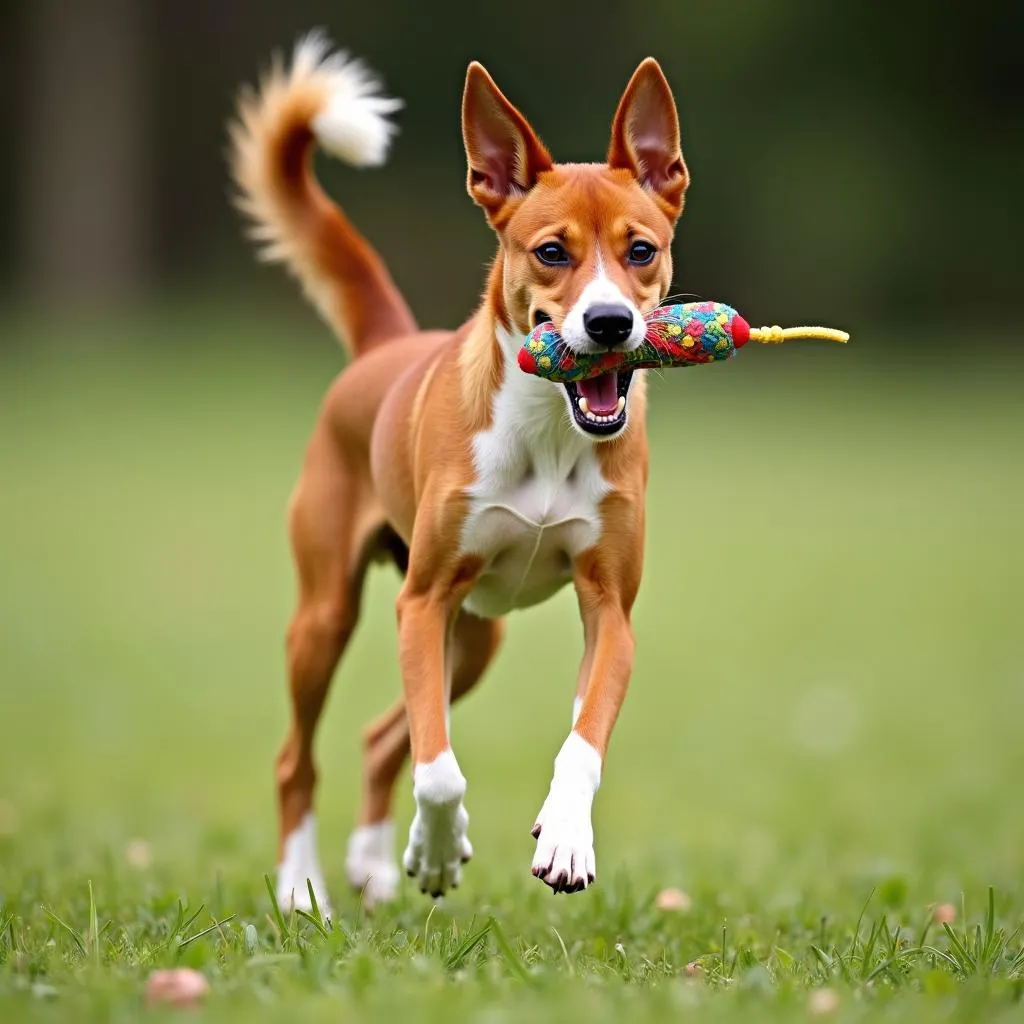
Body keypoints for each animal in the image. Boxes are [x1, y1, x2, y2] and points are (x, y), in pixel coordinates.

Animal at [232, 29, 688, 913]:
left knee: (381, 738)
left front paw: (565, 837)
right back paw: (304, 890)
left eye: (641, 250)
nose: (609, 322)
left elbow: (581, 739)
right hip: (330, 617)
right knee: (299, 758)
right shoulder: (423, 601)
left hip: (480, 635)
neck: (548, 430)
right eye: (552, 252)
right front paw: (441, 853)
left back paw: (375, 863)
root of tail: (385, 345)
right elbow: (439, 771)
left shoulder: (609, 607)